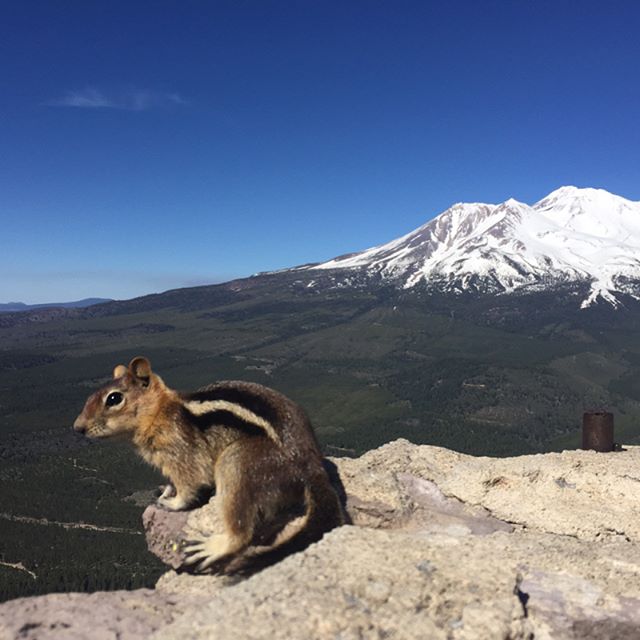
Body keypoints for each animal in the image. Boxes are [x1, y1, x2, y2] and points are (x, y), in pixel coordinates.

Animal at [74, 358, 344, 572]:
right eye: (90, 397)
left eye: (114, 398)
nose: (77, 428)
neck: (162, 411)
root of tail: (310, 466)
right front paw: (164, 490)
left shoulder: (180, 454)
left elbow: (190, 485)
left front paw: (171, 503)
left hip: (237, 462)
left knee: (242, 533)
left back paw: (213, 547)